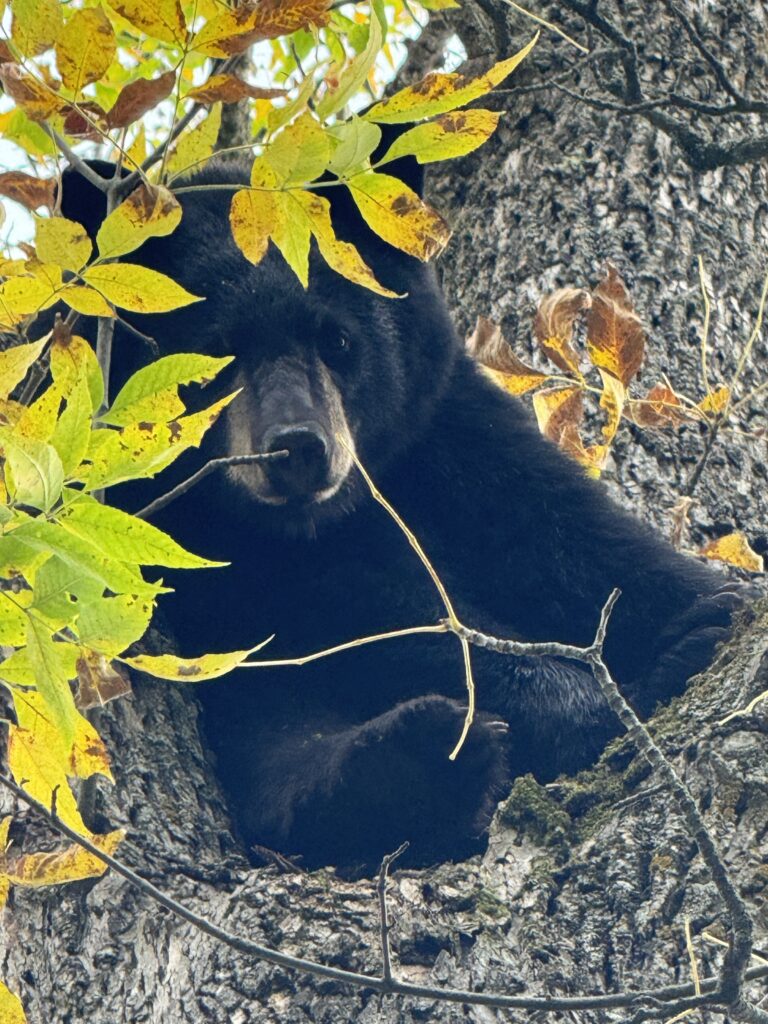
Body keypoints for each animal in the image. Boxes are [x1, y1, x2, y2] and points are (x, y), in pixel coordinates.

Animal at [60, 155, 745, 876]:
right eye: (217, 354)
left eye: (337, 338)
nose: (297, 447)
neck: (317, 525)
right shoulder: (212, 553)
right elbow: (379, 616)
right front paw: (618, 694)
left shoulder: (451, 430)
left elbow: (572, 537)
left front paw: (709, 611)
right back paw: (419, 760)